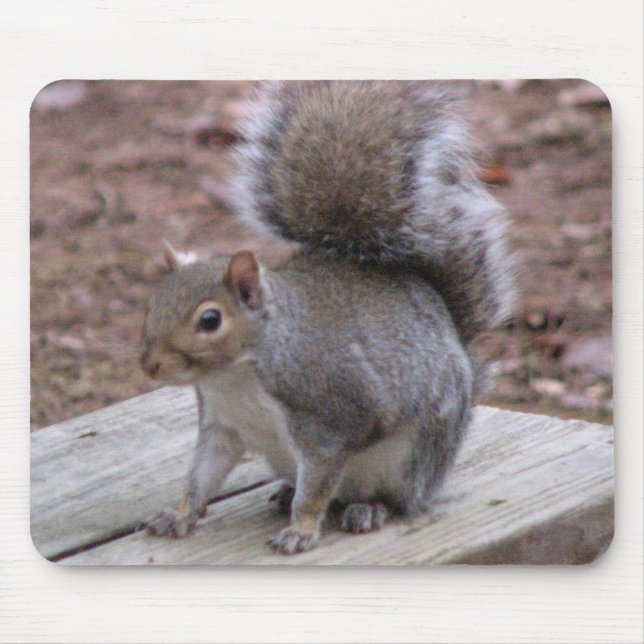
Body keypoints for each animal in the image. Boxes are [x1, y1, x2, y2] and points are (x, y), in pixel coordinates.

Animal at [139, 81, 515, 555]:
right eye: (154, 301)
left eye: (210, 320)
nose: (149, 365)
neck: (237, 377)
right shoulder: (221, 426)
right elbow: (201, 476)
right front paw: (180, 514)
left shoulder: (329, 419)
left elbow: (317, 486)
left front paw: (300, 531)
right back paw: (285, 493)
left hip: (412, 457)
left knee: (399, 499)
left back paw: (368, 508)